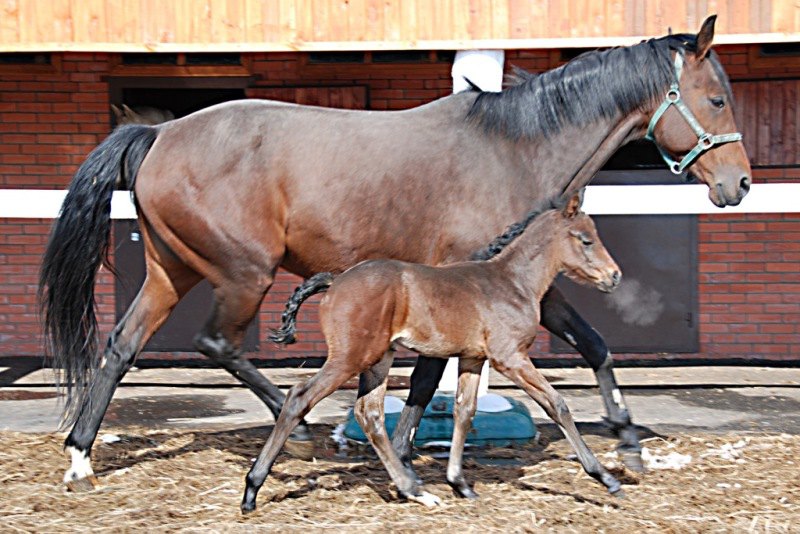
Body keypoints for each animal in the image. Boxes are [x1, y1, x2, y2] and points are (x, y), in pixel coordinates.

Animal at [242, 194, 624, 516]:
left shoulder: (473, 358)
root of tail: (335, 282)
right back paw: (251, 490)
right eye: (585, 239)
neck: (512, 283)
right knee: (299, 397)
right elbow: (557, 404)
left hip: (378, 359)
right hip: (350, 358)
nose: (614, 276)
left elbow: (464, 412)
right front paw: (605, 478)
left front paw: (460, 484)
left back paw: (414, 490)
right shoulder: (511, 357)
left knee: (369, 414)